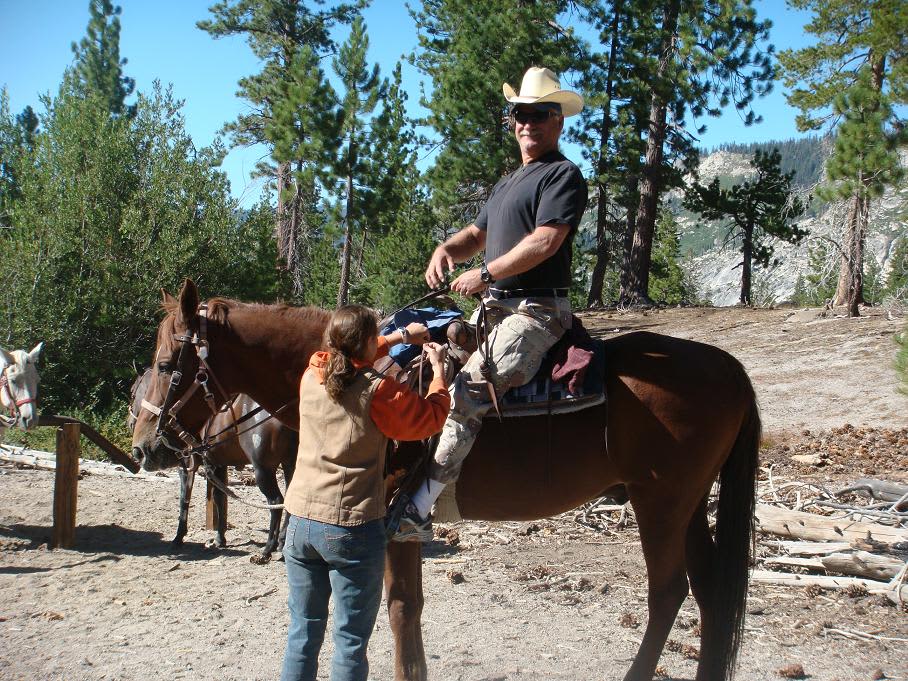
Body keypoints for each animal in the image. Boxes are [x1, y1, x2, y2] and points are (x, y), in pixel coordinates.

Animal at [133, 278, 760, 680]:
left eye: (166, 365)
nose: (146, 447)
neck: (365, 371)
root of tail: (730, 367)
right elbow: (407, 608)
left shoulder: (391, 514)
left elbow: (398, 609)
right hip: (689, 505)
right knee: (709, 591)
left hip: (661, 504)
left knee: (668, 593)